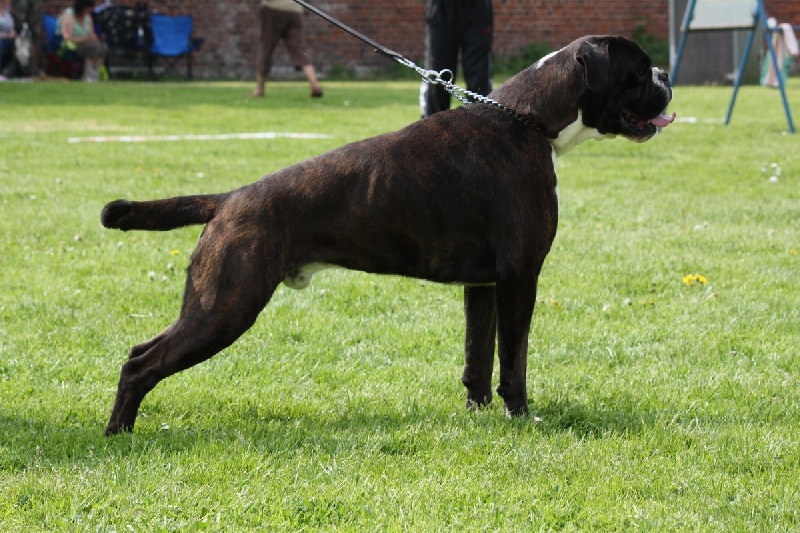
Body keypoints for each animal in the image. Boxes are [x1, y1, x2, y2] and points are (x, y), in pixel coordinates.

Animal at [100, 33, 676, 434]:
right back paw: (118, 434)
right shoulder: (519, 280)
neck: (527, 120)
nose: (668, 74)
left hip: (215, 305)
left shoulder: (483, 286)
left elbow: (478, 354)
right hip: (225, 306)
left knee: (138, 354)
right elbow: (514, 358)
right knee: (142, 364)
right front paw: (520, 416)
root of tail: (231, 198)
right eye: (640, 71)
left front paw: (478, 412)